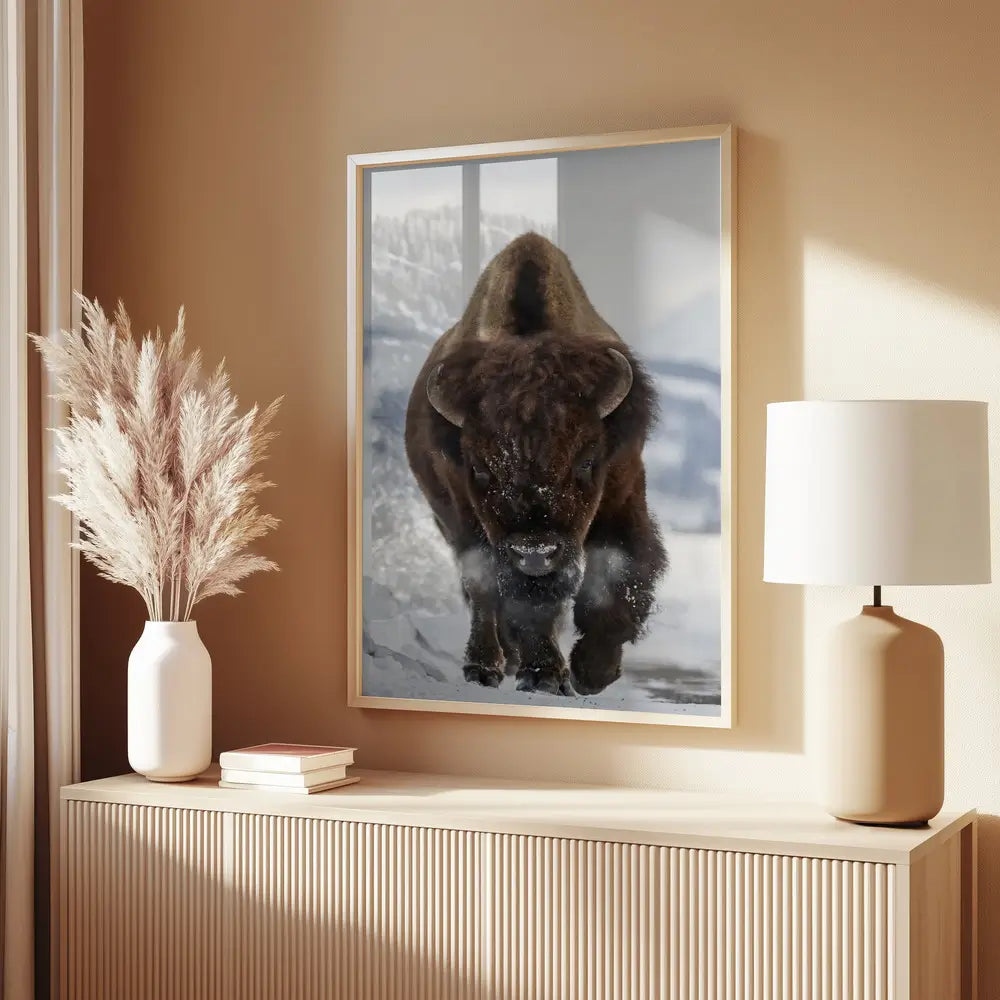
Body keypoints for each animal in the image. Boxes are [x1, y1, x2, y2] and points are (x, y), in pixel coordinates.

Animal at [404, 233, 666, 696]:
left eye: (587, 461)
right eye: (480, 469)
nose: (535, 554)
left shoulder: (624, 491)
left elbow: (621, 572)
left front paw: (593, 672)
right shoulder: (469, 517)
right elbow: (512, 597)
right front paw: (545, 676)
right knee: (483, 594)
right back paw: (486, 666)